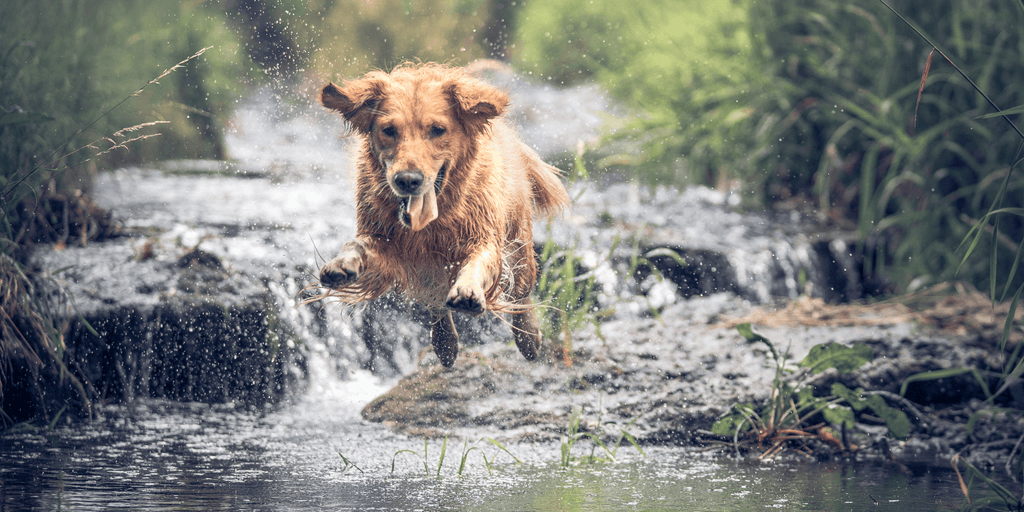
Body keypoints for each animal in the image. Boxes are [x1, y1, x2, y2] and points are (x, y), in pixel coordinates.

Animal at [317, 62, 569, 368]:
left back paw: (528, 338)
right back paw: (445, 343)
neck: (431, 223)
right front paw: (341, 264)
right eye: (389, 130)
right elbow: (356, 244)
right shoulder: (385, 240)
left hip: (519, 243)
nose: (408, 180)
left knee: (521, 294)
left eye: (437, 130)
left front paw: (469, 290)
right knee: (435, 300)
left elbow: (478, 264)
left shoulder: (483, 237)